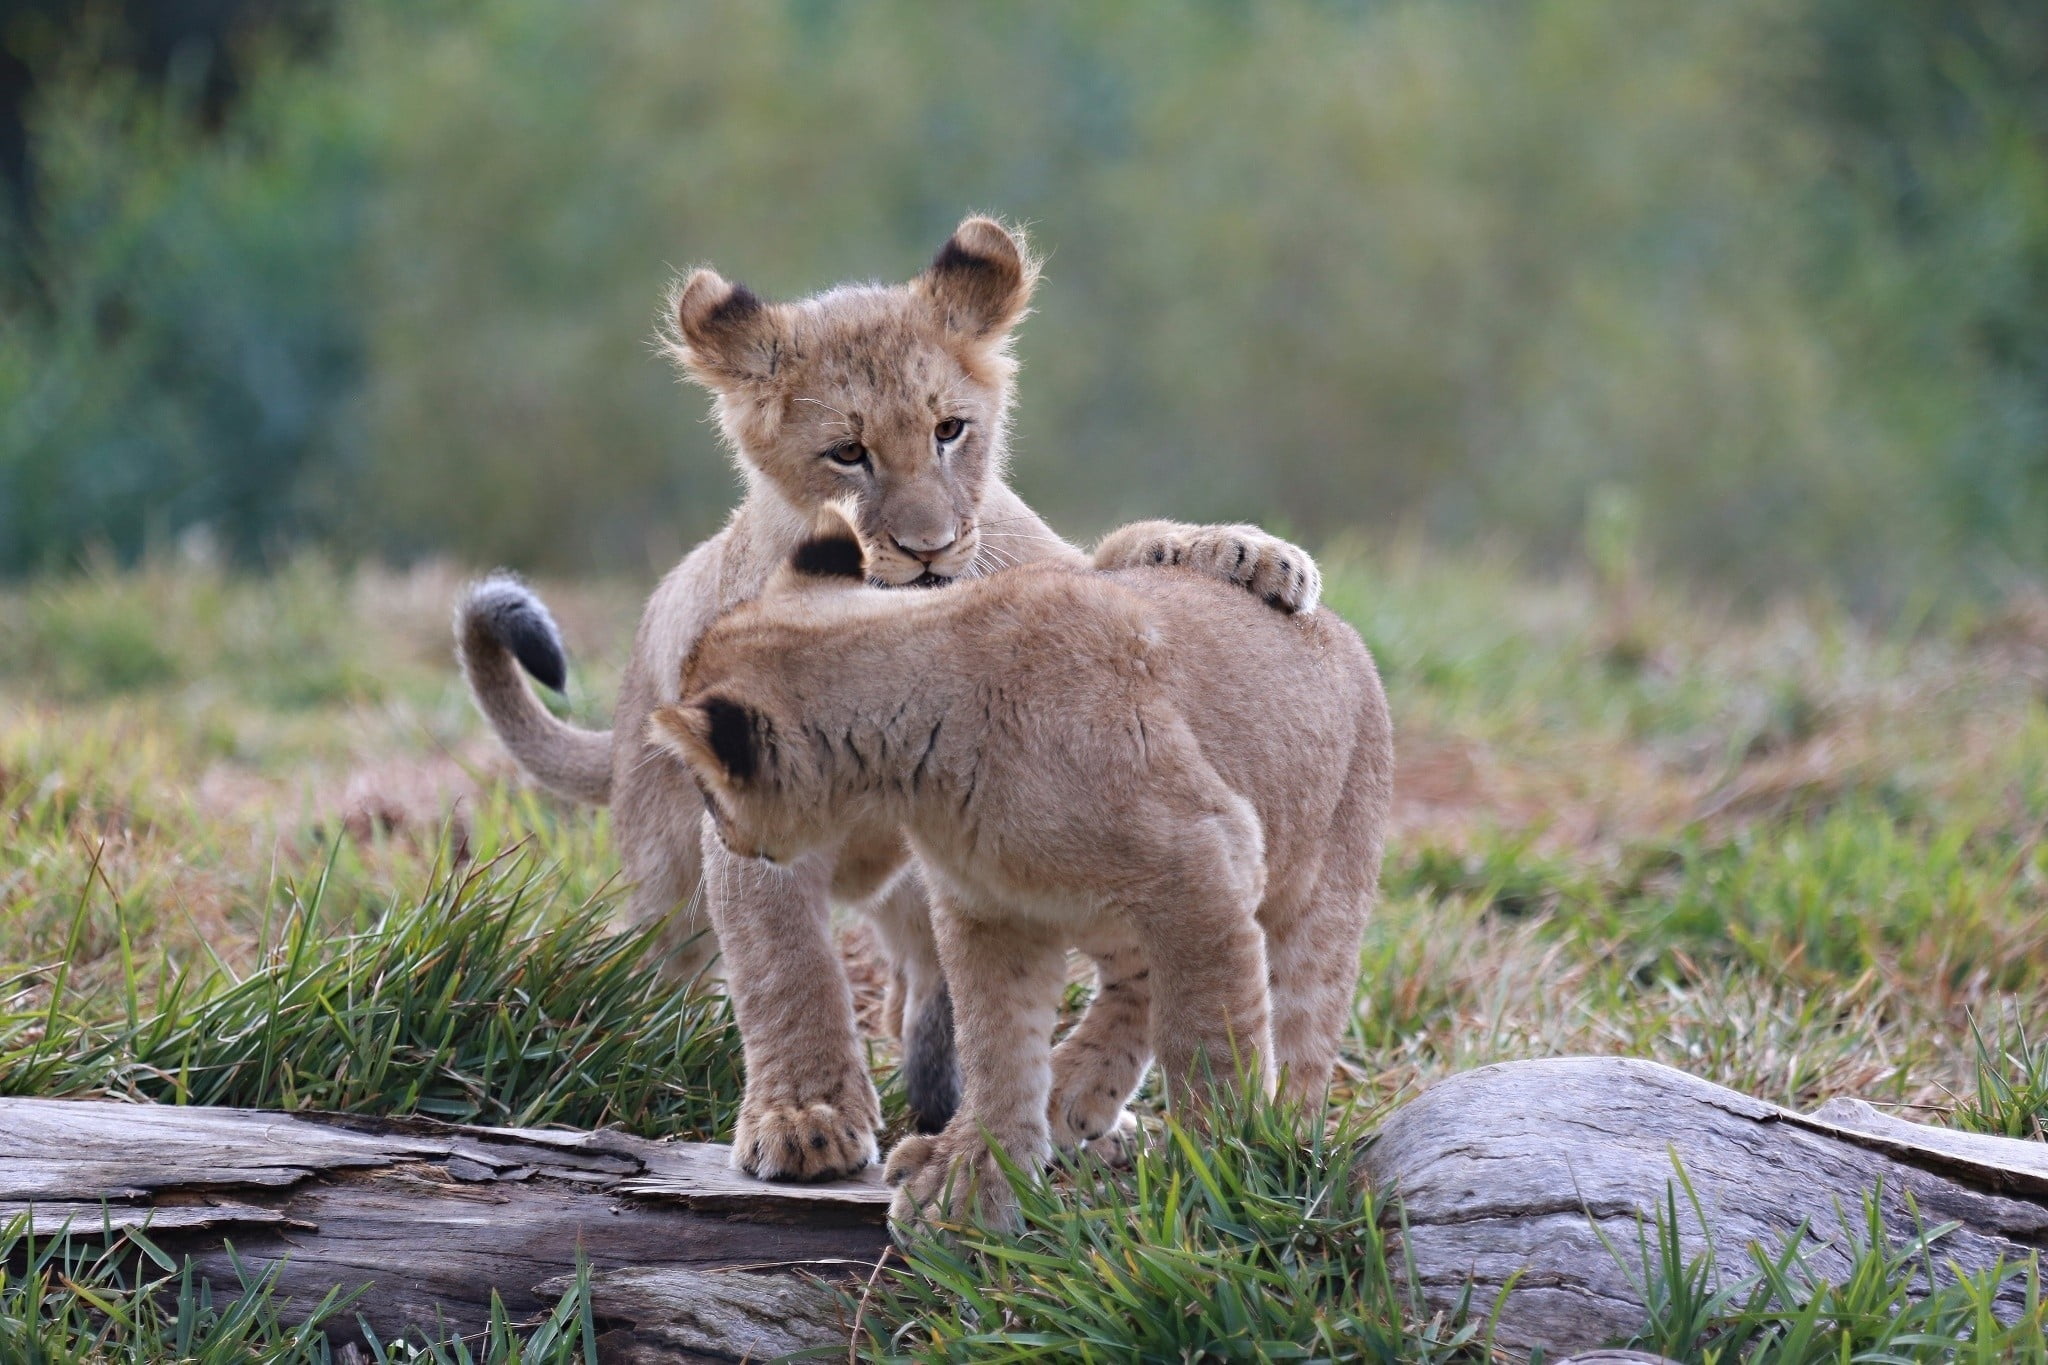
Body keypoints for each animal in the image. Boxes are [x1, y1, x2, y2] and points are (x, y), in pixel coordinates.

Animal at [456, 216, 1325, 1180]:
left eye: (950, 430)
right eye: (848, 452)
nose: (929, 548)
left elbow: (1120, 552)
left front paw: (1250, 555)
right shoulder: (751, 801)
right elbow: (786, 965)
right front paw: (803, 1118)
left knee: (926, 984)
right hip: (665, 876)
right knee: (658, 956)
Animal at [646, 506, 1392, 1229]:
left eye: (708, 788)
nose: (725, 836)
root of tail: (1345, 631)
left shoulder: (1205, 857)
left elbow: (1207, 1035)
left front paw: (1221, 1167)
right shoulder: (990, 909)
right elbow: (998, 1044)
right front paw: (971, 1178)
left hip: (1317, 890)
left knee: (1301, 1019)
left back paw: (1282, 1141)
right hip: (1106, 915)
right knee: (1135, 983)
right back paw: (1070, 1096)